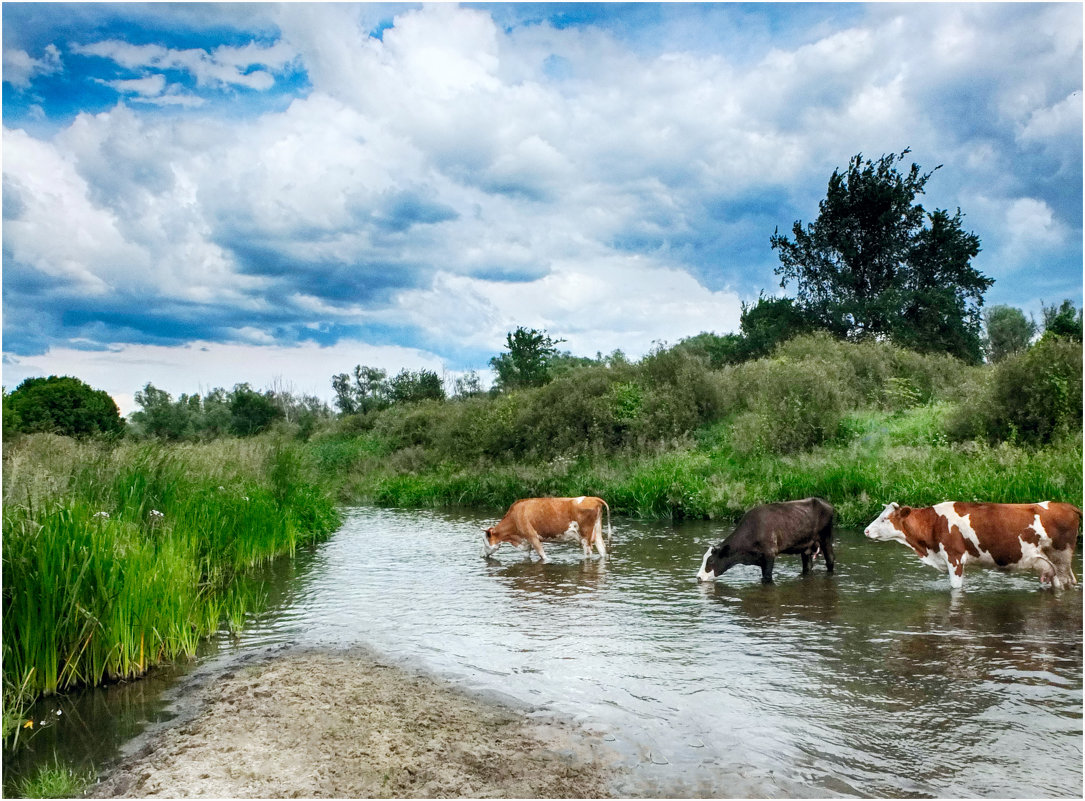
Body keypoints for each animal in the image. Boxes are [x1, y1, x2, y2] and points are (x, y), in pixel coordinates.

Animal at [481, 497, 611, 560]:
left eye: (484, 540)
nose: (483, 555)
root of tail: (593, 498)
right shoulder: (526, 542)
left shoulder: (532, 537)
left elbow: (543, 556)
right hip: (597, 532)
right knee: (602, 549)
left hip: (585, 537)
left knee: (588, 553)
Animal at [698, 497, 833, 581]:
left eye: (710, 560)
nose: (698, 577)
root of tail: (827, 504)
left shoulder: (769, 555)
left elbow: (767, 578)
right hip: (806, 546)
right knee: (807, 566)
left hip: (826, 539)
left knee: (830, 560)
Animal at [859, 499, 1080, 586]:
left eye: (885, 519)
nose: (866, 530)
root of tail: (1068, 506)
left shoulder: (954, 558)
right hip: (1050, 566)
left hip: (1061, 558)